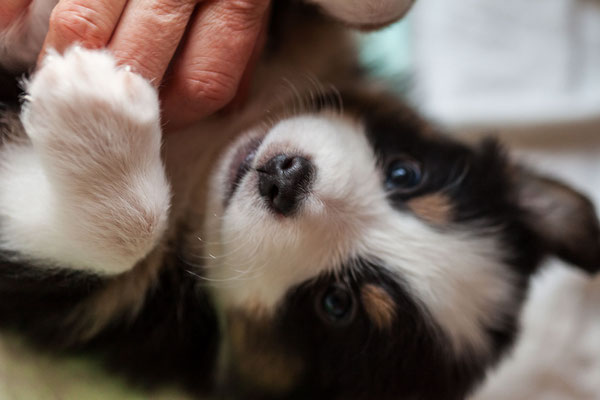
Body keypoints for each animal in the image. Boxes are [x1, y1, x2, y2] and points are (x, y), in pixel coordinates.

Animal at [1, 0, 600, 400]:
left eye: (336, 303)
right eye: (404, 173)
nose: (286, 177)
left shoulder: (109, 313)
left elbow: (119, 237)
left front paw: (90, 104)